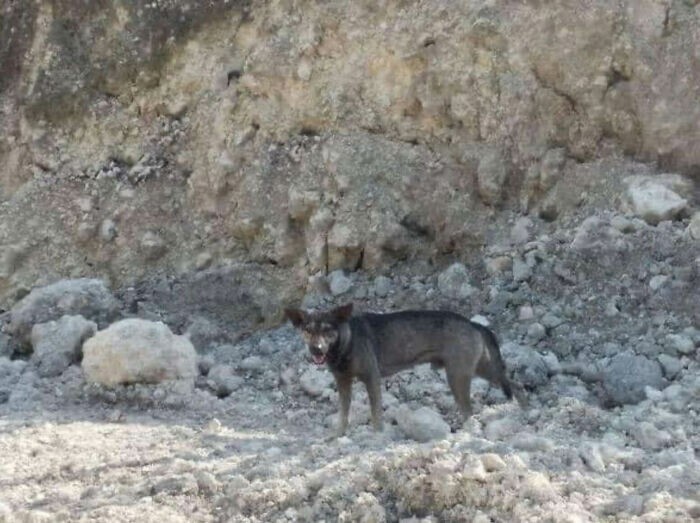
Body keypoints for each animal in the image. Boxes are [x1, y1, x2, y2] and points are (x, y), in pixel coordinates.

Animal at [286, 302, 524, 438]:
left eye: (328, 330)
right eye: (308, 331)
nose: (316, 349)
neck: (346, 342)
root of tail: (473, 324)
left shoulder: (371, 378)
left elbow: (376, 413)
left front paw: (377, 436)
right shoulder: (342, 382)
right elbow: (343, 413)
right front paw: (337, 435)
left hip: (459, 376)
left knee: (472, 409)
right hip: (480, 368)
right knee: (514, 384)